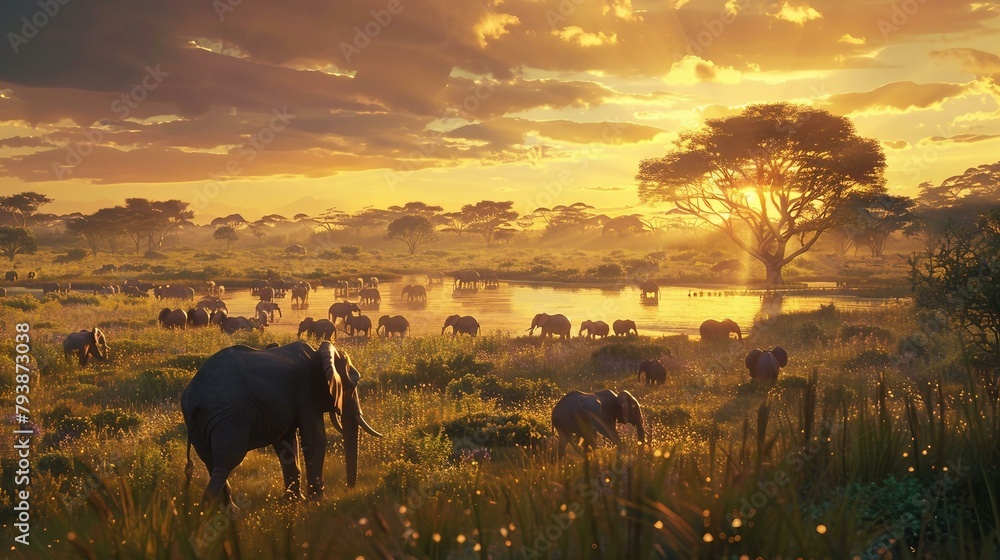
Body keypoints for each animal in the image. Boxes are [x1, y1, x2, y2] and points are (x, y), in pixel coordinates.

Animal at [181, 341, 383, 509]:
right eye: (355, 382)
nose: (348, 489)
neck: (319, 353)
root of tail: (193, 399)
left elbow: (285, 443)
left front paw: (293, 502)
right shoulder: (308, 390)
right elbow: (314, 439)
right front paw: (317, 502)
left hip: (200, 423)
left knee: (211, 461)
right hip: (231, 416)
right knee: (226, 461)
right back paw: (220, 511)